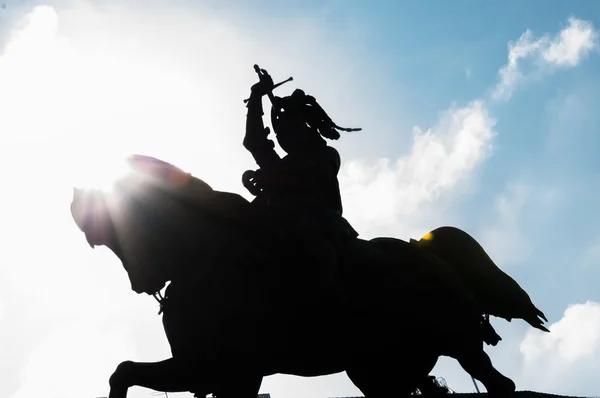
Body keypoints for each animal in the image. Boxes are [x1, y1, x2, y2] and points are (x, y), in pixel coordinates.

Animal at [68, 154, 548, 396]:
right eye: (99, 240)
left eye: (112, 228)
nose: (144, 282)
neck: (210, 258)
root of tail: (430, 256)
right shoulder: (206, 369)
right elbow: (123, 372)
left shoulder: (230, 372)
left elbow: (126, 372)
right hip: (383, 371)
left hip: (457, 342)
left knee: (501, 384)